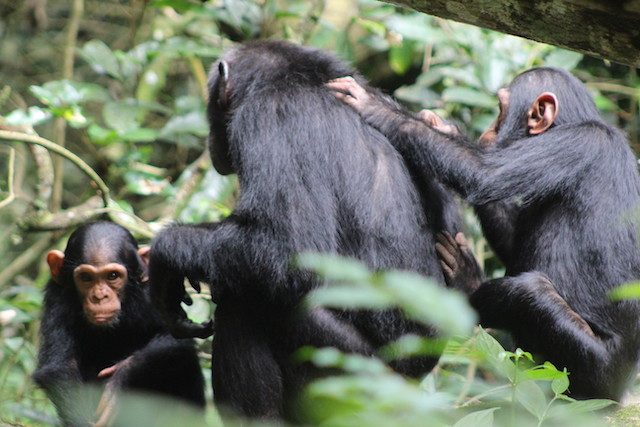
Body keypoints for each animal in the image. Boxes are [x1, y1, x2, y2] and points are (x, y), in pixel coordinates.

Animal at [33, 222, 205, 426]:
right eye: (86, 277)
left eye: (112, 276)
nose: (100, 297)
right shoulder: (57, 299)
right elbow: (60, 365)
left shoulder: (152, 291)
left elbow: (178, 336)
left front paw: (121, 379)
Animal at [149, 41, 460, 422]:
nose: (210, 140)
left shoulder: (269, 117)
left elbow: (289, 247)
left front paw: (166, 254)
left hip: (348, 373)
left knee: (249, 300)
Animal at [330, 67, 640, 402]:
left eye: (501, 108)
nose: (489, 129)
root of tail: (620, 389)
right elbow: (511, 232)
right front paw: (441, 126)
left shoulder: (572, 144)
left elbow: (483, 173)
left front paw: (377, 108)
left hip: (591, 371)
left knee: (529, 292)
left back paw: (467, 282)